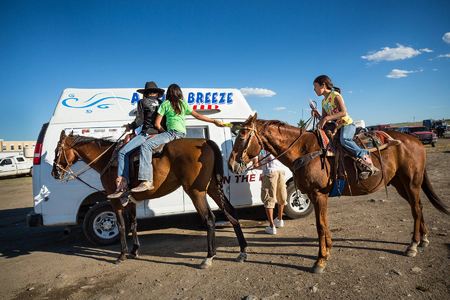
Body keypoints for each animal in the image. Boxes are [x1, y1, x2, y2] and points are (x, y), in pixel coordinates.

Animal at [51, 131, 248, 268]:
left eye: (56, 151)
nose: (55, 173)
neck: (108, 159)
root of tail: (206, 141)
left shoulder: (115, 201)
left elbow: (121, 226)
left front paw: (121, 255)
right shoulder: (129, 200)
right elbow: (133, 224)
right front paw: (134, 250)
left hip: (195, 191)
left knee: (209, 219)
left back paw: (208, 257)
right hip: (213, 187)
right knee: (231, 212)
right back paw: (242, 251)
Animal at [230, 113, 448, 274]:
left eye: (242, 136)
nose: (231, 164)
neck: (304, 150)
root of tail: (415, 140)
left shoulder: (318, 194)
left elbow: (320, 226)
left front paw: (320, 260)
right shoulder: (319, 196)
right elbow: (324, 224)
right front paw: (328, 251)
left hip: (411, 182)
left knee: (416, 209)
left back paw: (413, 245)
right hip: (400, 183)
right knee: (418, 206)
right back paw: (423, 240)